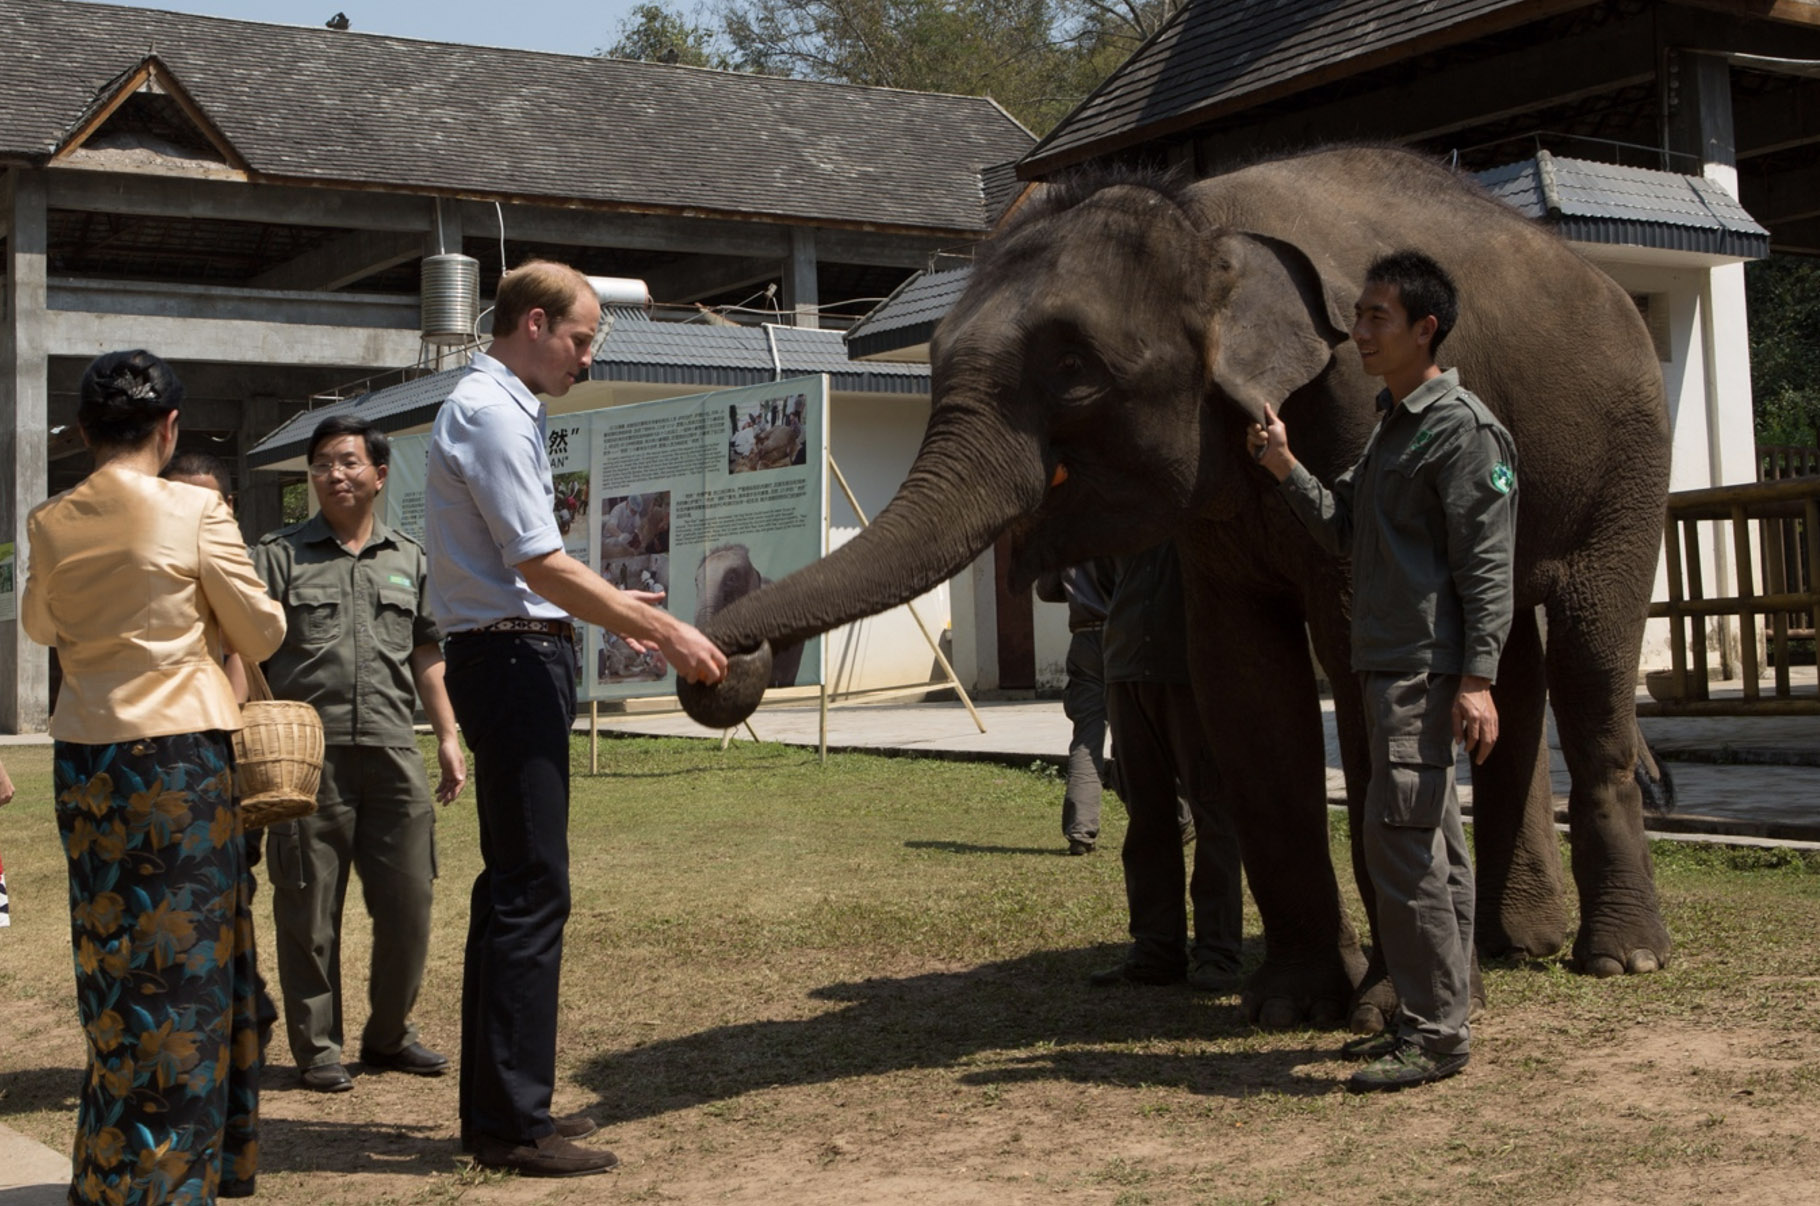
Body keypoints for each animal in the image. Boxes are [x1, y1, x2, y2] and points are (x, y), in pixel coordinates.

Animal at [677, 148, 1667, 1025]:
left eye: (1074, 369)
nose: (724, 661)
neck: (1207, 220)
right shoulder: (1217, 516)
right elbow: (1244, 687)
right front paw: (1291, 1006)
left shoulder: (1354, 406)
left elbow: (1366, 668)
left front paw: (1383, 1010)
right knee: (1510, 668)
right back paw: (1515, 945)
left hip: (1629, 459)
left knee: (1589, 657)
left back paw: (1617, 957)